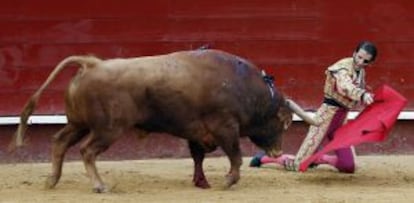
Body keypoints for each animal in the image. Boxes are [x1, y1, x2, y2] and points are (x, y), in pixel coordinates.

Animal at [12, 49, 298, 193]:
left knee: (60, 142)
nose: (278, 152)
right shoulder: (225, 127)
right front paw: (228, 181)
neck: (245, 87)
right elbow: (235, 156)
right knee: (87, 151)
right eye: (283, 123)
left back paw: (52, 180)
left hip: (79, 124)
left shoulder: (197, 132)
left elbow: (198, 158)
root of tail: (92, 64)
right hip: (107, 130)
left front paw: (201, 183)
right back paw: (99, 185)